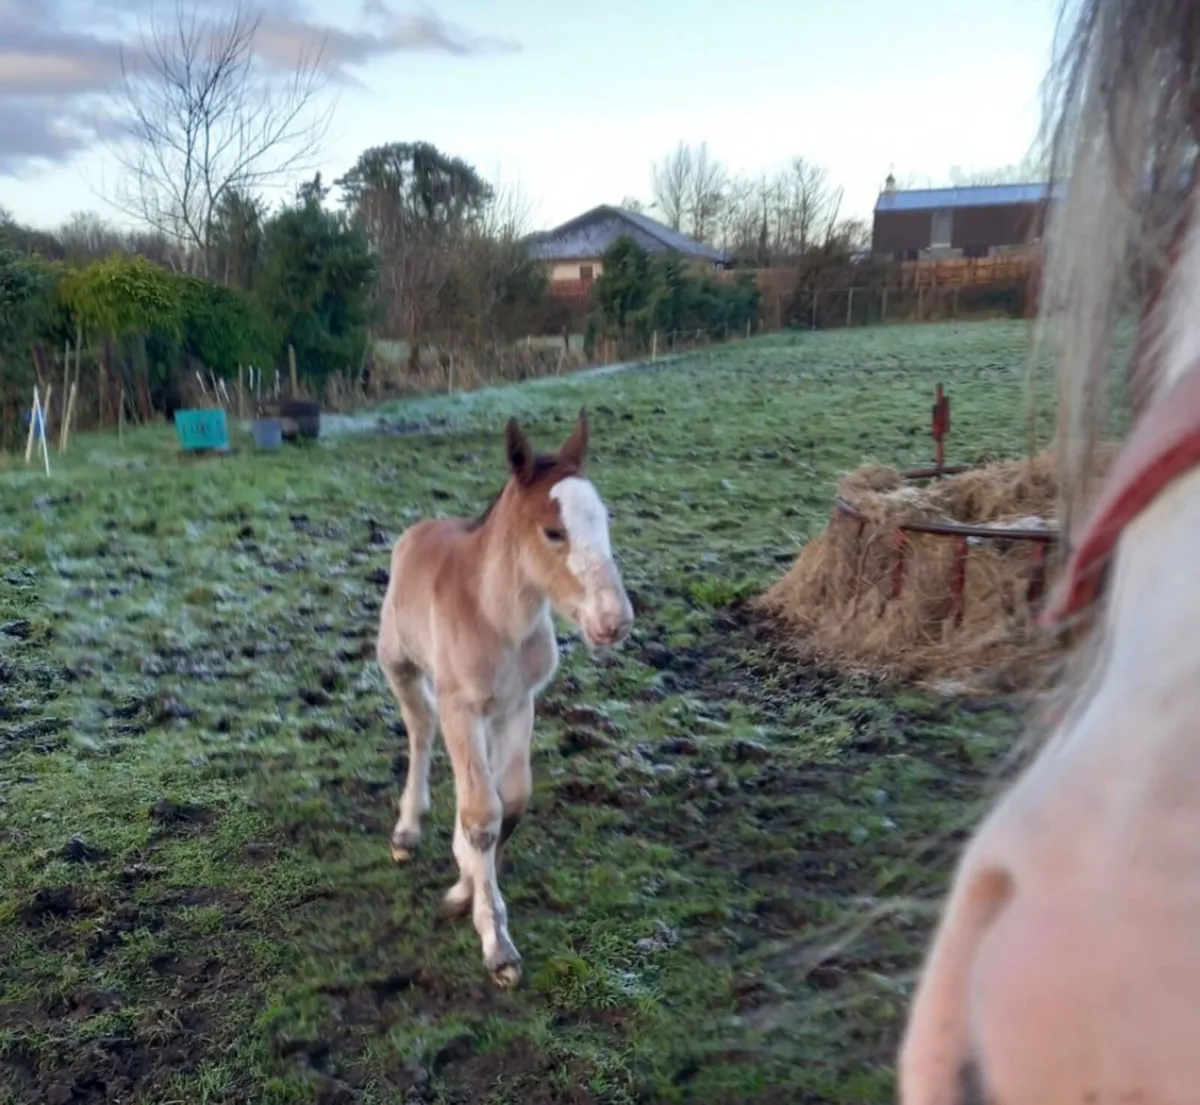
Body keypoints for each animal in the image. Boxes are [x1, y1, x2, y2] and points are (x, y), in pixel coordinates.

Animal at [375, 409, 634, 987]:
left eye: (604, 520)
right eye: (554, 531)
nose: (614, 621)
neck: (497, 616)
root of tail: (420, 528)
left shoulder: (520, 702)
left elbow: (508, 801)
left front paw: (464, 888)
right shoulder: (461, 706)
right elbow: (481, 815)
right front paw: (497, 944)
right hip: (399, 664)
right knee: (421, 730)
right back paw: (406, 830)